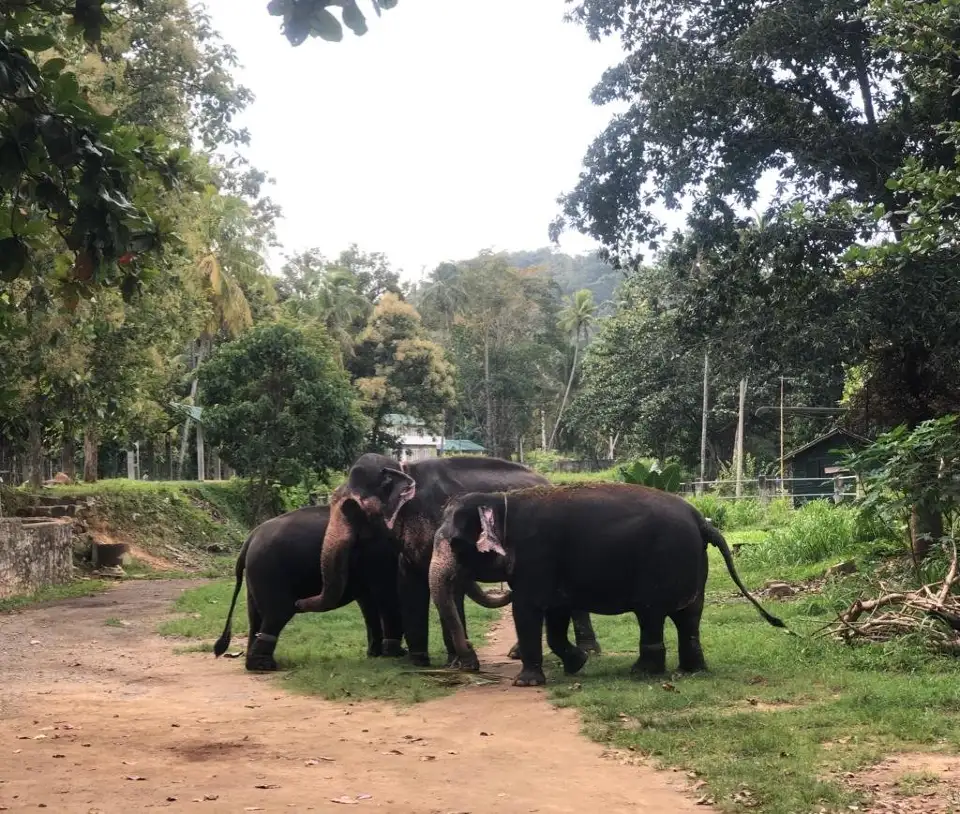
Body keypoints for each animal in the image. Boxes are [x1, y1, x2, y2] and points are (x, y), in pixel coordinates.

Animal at [213, 502, 406, 672]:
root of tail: (249, 540)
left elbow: (369, 601)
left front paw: (377, 654)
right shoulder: (380, 552)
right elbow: (388, 595)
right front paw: (396, 655)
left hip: (256, 575)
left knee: (256, 617)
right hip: (269, 571)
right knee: (278, 612)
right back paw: (265, 666)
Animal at [295, 453, 602, 667]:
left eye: (351, 509)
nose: (297, 603)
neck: (404, 470)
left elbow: (446, 587)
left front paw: (457, 661)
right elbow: (410, 583)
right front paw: (418, 661)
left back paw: (588, 650)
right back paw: (516, 653)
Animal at [430, 482, 786, 687]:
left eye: (454, 544)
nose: (472, 663)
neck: (501, 501)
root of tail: (702, 520)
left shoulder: (536, 556)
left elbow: (527, 609)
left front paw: (526, 683)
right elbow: (556, 614)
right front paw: (577, 664)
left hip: (663, 562)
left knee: (651, 614)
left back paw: (642, 672)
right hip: (695, 566)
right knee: (689, 617)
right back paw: (691, 671)